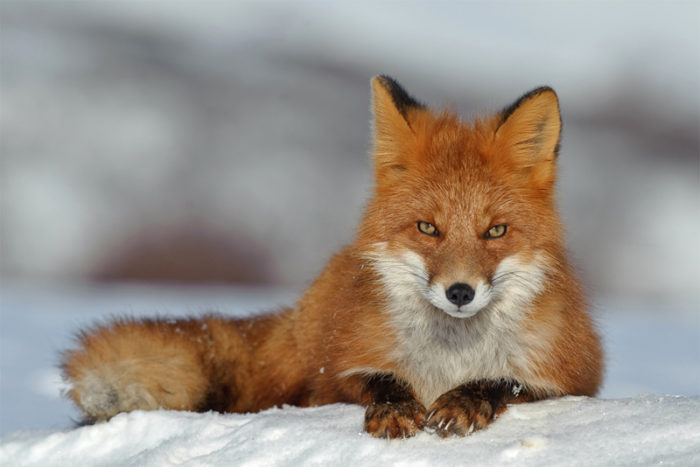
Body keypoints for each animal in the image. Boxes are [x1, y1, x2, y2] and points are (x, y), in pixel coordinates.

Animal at [63, 77, 604, 438]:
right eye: (428, 228)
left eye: (496, 231)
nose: (459, 292)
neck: (448, 362)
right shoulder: (337, 373)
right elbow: (377, 380)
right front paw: (395, 406)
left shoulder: (572, 377)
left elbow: (503, 382)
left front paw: (467, 400)